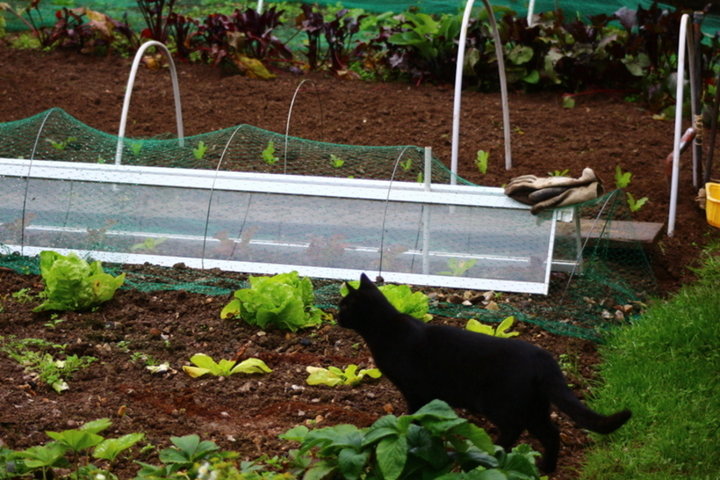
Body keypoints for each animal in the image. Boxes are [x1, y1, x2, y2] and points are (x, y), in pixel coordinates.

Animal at [338, 274, 632, 472]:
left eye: (343, 306)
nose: (336, 317)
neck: (385, 330)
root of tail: (544, 358)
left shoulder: (416, 392)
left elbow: (416, 416)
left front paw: (412, 434)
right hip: (535, 407)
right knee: (551, 433)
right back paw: (546, 469)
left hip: (500, 404)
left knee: (514, 429)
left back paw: (492, 454)